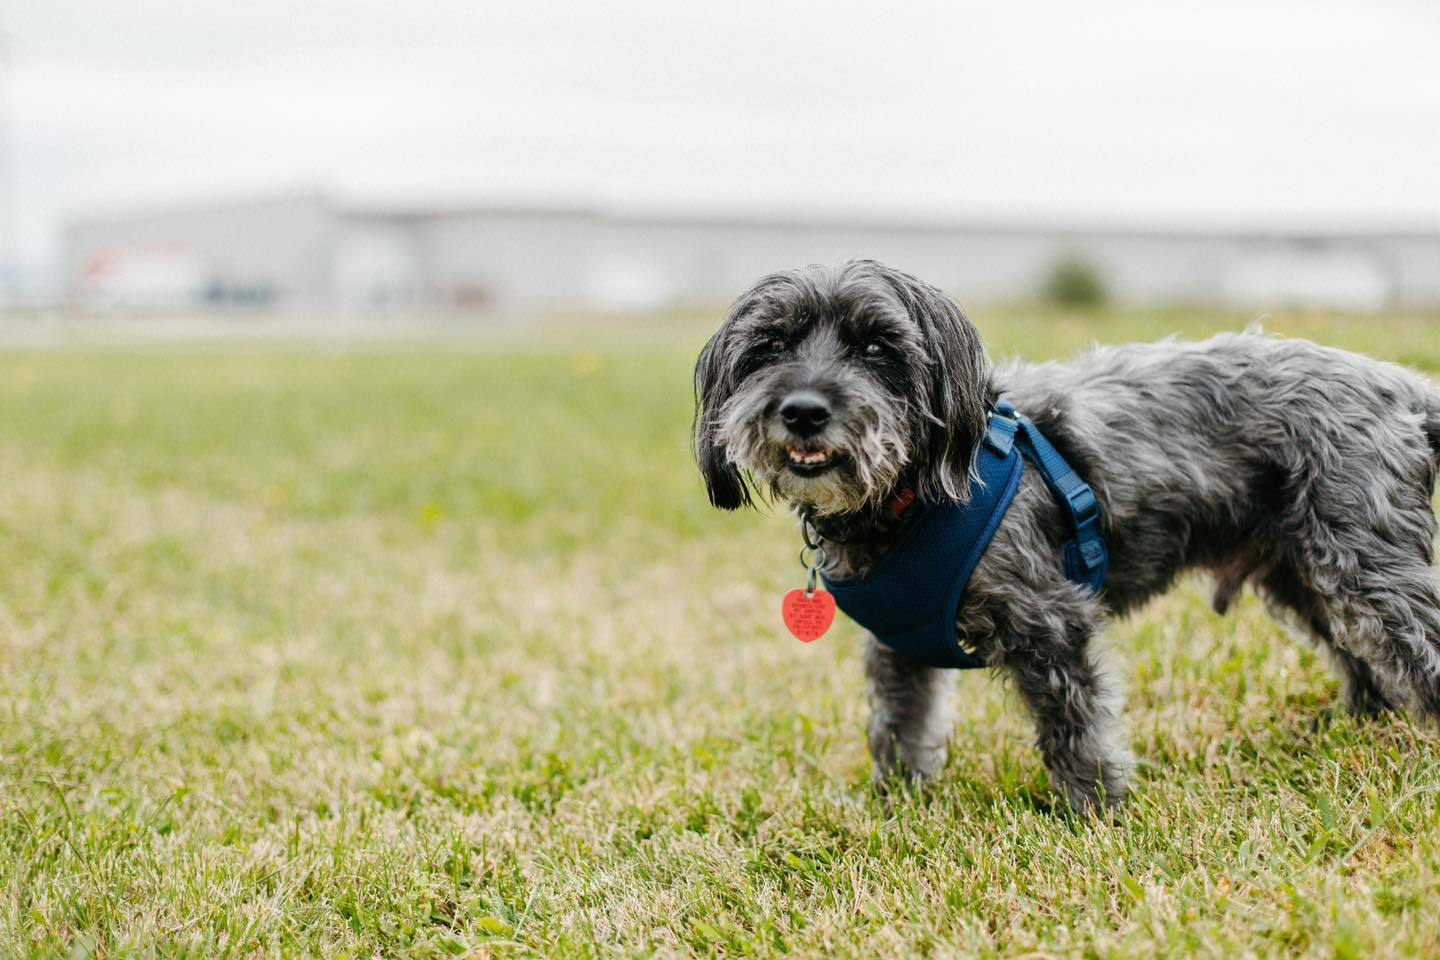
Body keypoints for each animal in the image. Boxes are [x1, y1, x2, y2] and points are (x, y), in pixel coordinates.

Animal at [691, 259, 1440, 817]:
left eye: (876, 347)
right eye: (771, 347)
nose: (803, 411)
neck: (908, 504)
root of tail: (1402, 389)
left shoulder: (1049, 619)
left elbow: (1074, 723)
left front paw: (1095, 811)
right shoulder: (897, 650)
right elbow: (901, 726)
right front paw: (896, 805)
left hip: (1367, 566)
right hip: (1303, 569)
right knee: (1359, 655)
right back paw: (1357, 725)